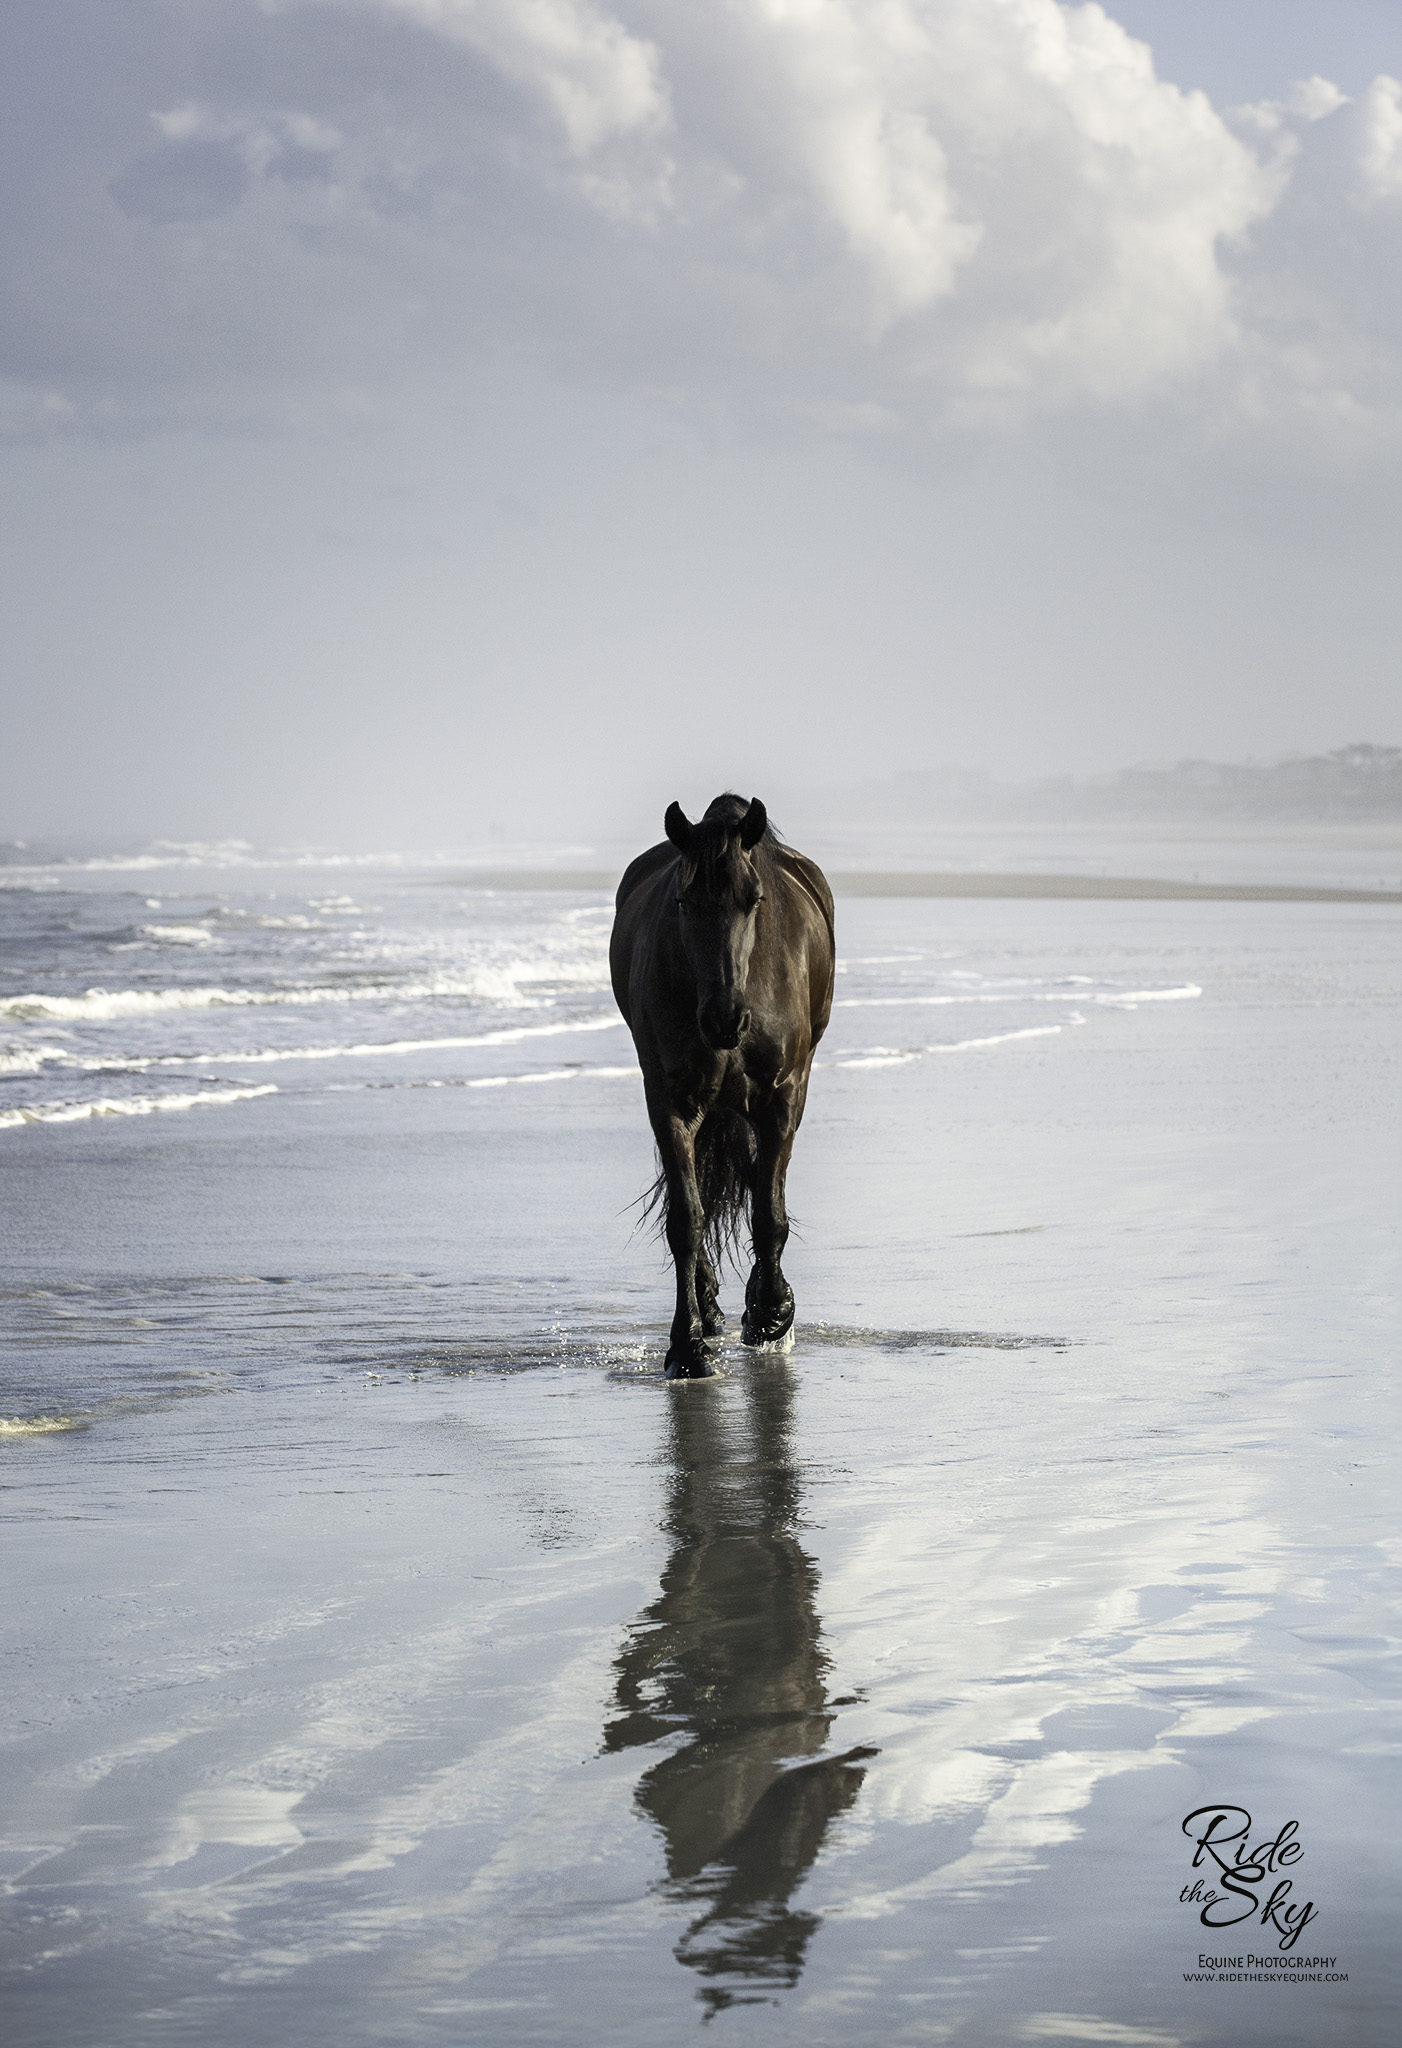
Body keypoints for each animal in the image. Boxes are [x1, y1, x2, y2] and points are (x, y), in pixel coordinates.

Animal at [609, 790, 830, 1384]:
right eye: (684, 901)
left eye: (753, 900)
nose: (724, 1019)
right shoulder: (670, 1101)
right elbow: (686, 1218)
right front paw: (687, 1347)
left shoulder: (783, 1097)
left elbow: (768, 1212)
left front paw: (771, 1315)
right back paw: (709, 1310)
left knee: (758, 1182)